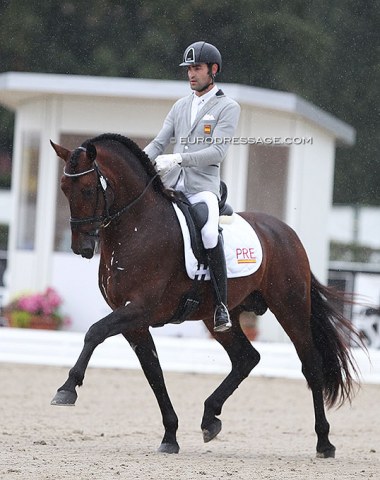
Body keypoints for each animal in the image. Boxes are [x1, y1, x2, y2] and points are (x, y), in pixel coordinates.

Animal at [49, 132, 362, 458]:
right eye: (63, 188)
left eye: (87, 189)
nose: (81, 247)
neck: (137, 226)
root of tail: (286, 232)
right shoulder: (134, 321)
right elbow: (154, 373)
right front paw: (170, 435)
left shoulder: (137, 309)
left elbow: (94, 332)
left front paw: (67, 388)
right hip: (219, 318)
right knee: (246, 358)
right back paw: (210, 417)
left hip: (291, 307)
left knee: (310, 364)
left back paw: (324, 442)